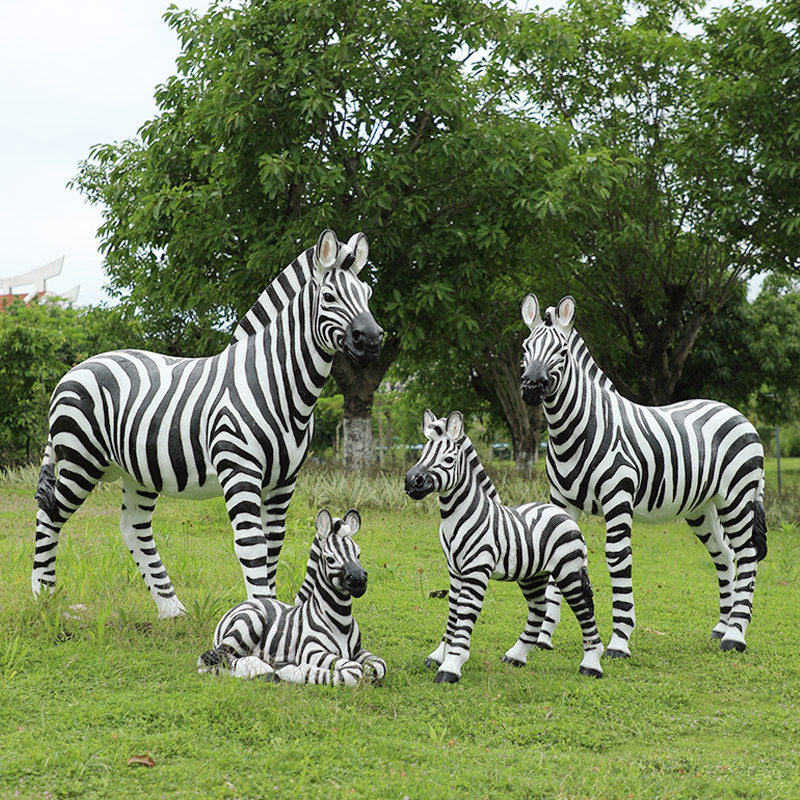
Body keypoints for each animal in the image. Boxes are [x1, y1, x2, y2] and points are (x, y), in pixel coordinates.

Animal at [32, 230, 383, 618]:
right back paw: (44, 597)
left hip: (137, 470)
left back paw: (171, 610)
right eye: (329, 296)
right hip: (80, 460)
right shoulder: (240, 471)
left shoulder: (284, 481)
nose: (373, 339)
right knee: (49, 513)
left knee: (133, 527)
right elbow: (252, 545)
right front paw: (262, 616)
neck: (275, 383)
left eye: (367, 294)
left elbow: (273, 545)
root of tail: (75, 369)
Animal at [197, 508, 387, 685]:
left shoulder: (358, 651)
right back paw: (262, 669)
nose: (359, 580)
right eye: (330, 559)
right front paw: (297, 671)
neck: (341, 623)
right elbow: (354, 671)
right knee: (210, 660)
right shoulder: (312, 651)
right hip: (250, 620)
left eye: (358, 554)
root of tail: (241, 604)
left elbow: (378, 665)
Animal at [404, 410, 604, 684]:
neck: (458, 515)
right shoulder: (454, 571)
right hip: (533, 575)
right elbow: (453, 611)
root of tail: (559, 510)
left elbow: (465, 612)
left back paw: (591, 664)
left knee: (584, 606)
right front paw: (438, 655)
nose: (411, 481)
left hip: (568, 570)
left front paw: (451, 665)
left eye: (448, 459)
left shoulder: (476, 570)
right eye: (422, 453)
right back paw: (516, 656)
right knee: (539, 609)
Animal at [519, 293, 767, 657]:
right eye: (525, 348)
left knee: (747, 552)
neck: (576, 430)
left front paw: (619, 641)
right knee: (724, 553)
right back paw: (722, 628)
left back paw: (735, 635)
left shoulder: (617, 497)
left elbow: (617, 558)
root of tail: (737, 413)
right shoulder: (562, 502)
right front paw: (542, 638)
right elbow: (557, 556)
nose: (531, 388)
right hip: (702, 506)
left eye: (561, 352)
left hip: (736, 497)